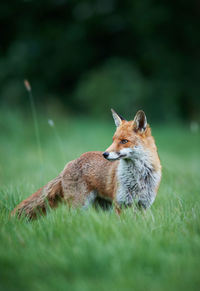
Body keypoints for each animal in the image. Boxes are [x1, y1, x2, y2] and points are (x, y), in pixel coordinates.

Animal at [11, 109, 161, 219]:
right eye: (113, 140)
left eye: (124, 141)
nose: (105, 154)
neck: (139, 177)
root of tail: (69, 164)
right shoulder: (120, 204)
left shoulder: (143, 206)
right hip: (80, 205)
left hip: (103, 208)